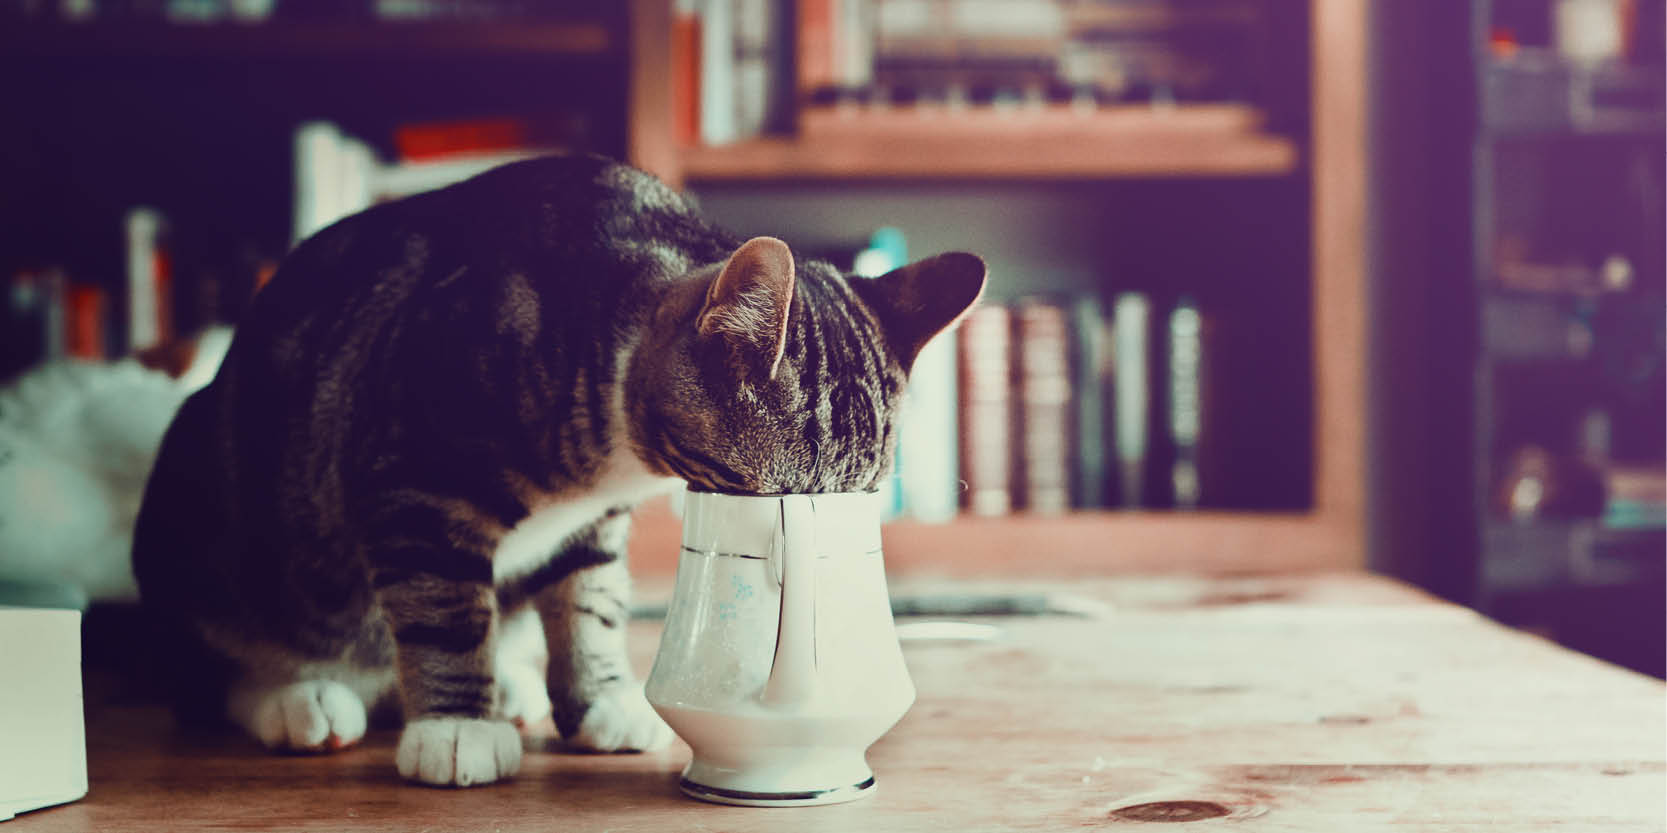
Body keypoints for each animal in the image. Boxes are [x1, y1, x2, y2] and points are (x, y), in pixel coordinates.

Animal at [136, 153, 986, 783]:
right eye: (770, 492)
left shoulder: (591, 523)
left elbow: (588, 603)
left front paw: (599, 700)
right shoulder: (414, 473)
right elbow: (444, 606)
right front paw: (456, 724)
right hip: (197, 508)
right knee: (204, 669)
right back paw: (299, 697)